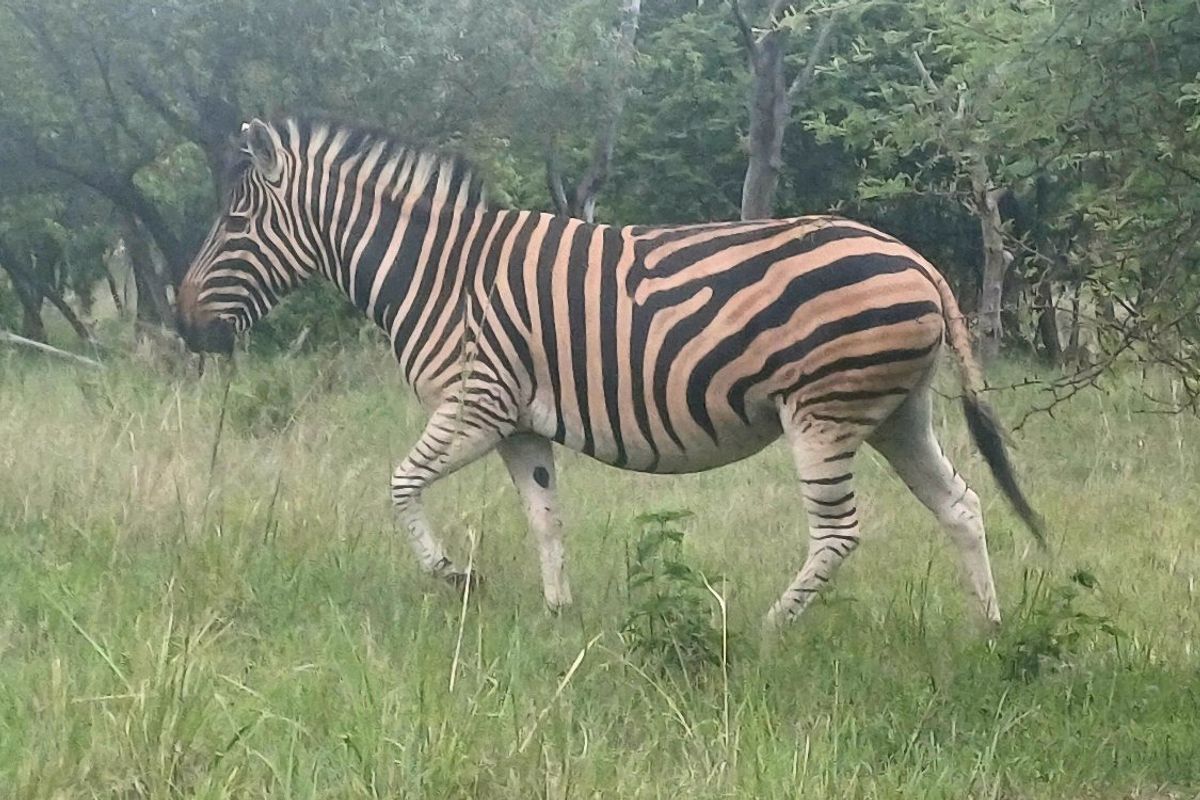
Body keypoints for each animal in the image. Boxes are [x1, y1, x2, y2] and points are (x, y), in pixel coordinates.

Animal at [177, 118, 1043, 628]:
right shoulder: (518, 423)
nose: (184, 323)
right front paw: (559, 615)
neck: (437, 272)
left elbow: (398, 485)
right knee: (962, 506)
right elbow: (545, 517)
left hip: (824, 413)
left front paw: (454, 577)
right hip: (898, 412)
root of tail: (917, 261)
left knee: (839, 532)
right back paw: (989, 630)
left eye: (235, 221)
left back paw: (764, 630)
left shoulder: (475, 402)